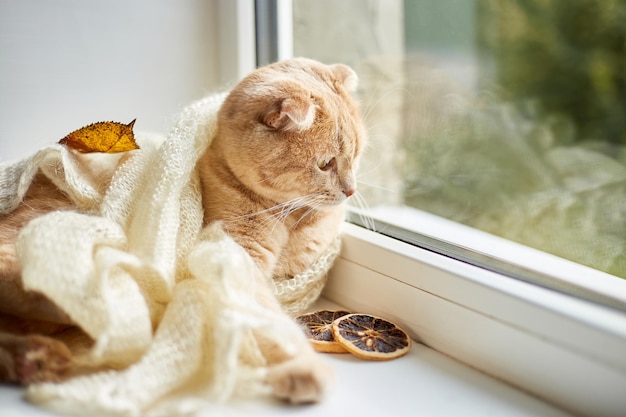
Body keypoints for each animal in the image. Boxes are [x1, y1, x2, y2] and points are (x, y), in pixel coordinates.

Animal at [0, 57, 366, 404]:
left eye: (357, 156)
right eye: (325, 164)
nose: (351, 190)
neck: (293, 219)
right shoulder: (233, 257)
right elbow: (268, 321)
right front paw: (301, 367)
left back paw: (34, 359)